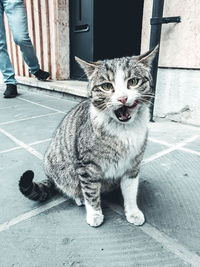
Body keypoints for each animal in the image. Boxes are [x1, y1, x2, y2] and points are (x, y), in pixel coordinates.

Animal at [19, 46, 159, 228]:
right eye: (106, 86)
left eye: (133, 81)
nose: (123, 98)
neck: (124, 130)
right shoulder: (87, 166)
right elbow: (91, 192)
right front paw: (94, 214)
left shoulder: (133, 164)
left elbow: (130, 190)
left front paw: (133, 212)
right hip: (59, 168)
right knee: (70, 186)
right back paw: (78, 198)